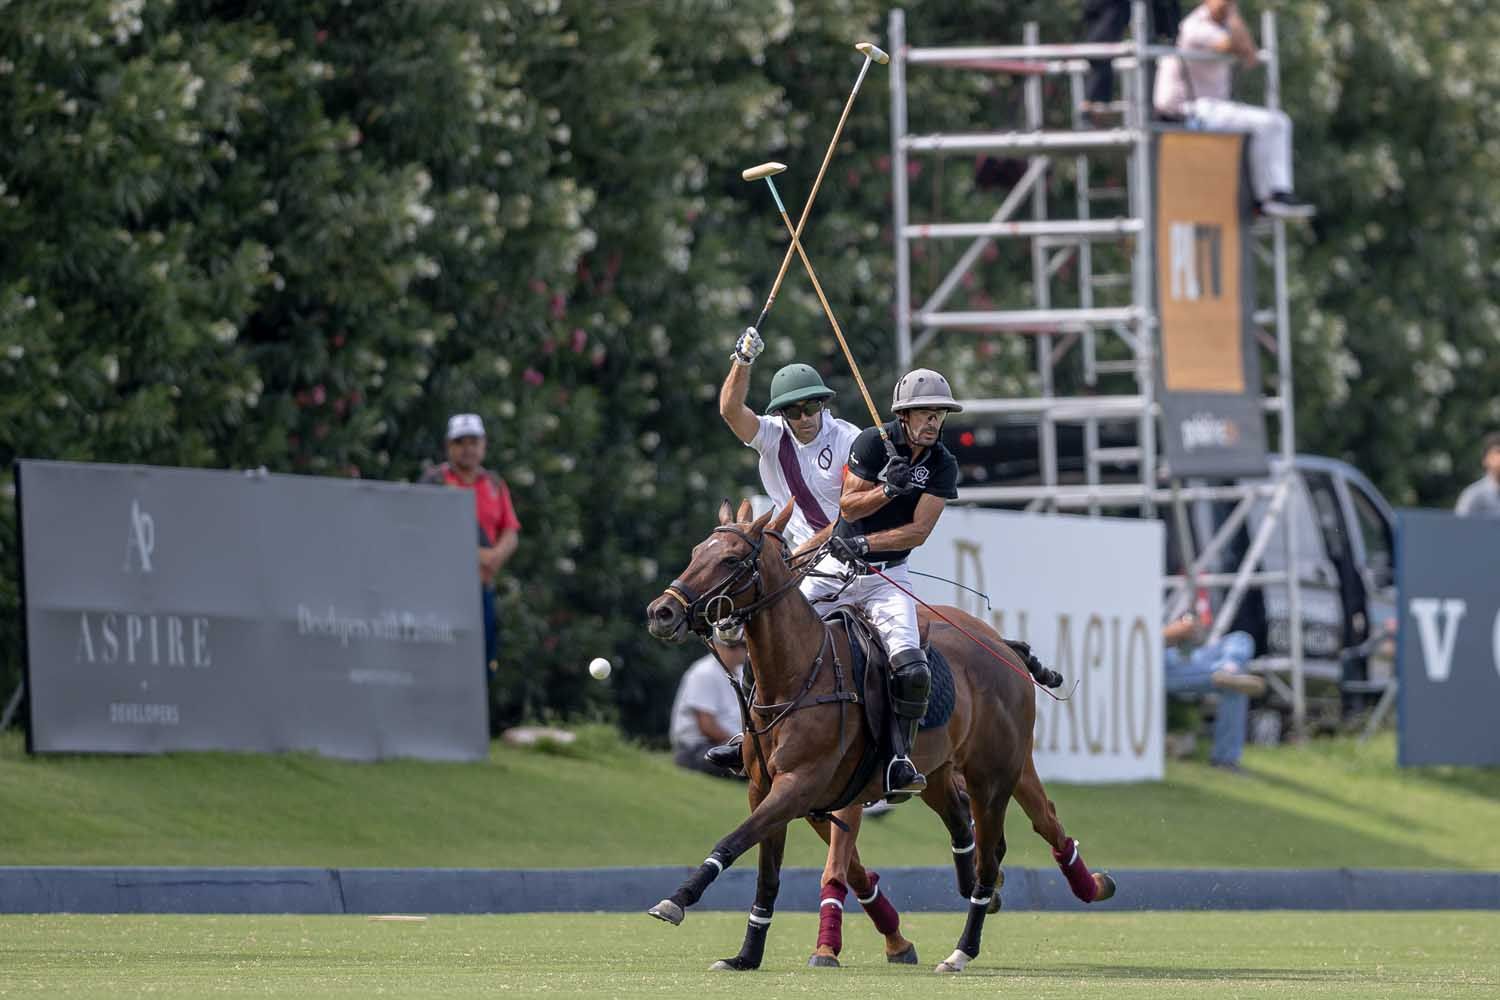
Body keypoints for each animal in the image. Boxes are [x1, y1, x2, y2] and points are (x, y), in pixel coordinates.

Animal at [645, 503, 1116, 971]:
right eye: (696, 552)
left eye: (730, 560)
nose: (661, 612)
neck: (797, 674)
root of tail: (1000, 643)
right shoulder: (765, 788)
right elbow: (767, 873)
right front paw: (746, 955)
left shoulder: (800, 784)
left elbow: (737, 840)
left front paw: (677, 900)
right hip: (939, 772)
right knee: (968, 828)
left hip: (995, 772)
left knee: (1003, 844)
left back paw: (965, 948)